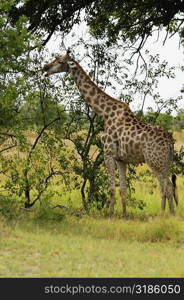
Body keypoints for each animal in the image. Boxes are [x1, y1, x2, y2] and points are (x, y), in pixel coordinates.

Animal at [43, 51, 178, 216]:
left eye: (61, 61)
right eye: (55, 58)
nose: (45, 67)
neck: (104, 113)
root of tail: (170, 143)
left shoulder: (108, 153)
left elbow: (112, 189)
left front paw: (110, 215)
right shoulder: (121, 159)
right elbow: (123, 189)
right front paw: (125, 216)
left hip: (154, 161)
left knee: (167, 187)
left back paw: (168, 216)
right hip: (165, 162)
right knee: (166, 187)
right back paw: (164, 214)